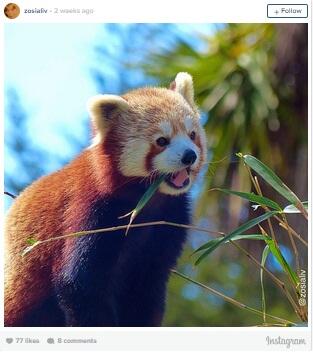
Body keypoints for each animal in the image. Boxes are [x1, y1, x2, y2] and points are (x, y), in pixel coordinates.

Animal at [4, 72, 207, 328]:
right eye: (162, 141)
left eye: (192, 135)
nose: (190, 156)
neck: (146, 200)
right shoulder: (90, 211)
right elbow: (79, 285)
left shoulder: (170, 220)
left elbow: (147, 289)